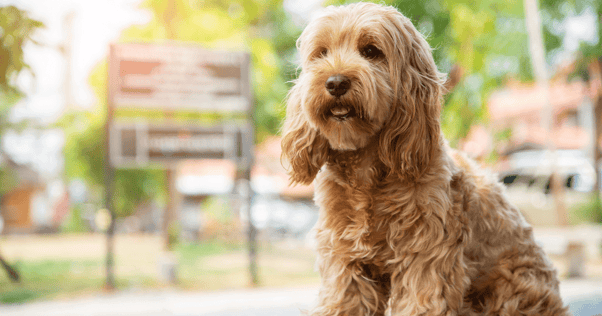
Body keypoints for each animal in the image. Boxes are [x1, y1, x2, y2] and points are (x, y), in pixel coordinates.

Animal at [278, 2, 564, 316]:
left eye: (371, 51)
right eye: (322, 53)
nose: (336, 82)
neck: (368, 173)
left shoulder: (427, 258)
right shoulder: (345, 262)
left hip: (512, 284)